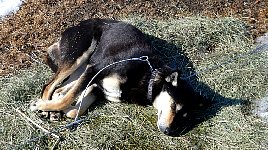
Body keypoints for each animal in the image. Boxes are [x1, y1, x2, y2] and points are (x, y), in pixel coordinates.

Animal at [30, 18, 200, 135]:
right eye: (174, 106)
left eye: (184, 118)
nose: (169, 132)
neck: (149, 78)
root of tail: (76, 25)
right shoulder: (95, 70)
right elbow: (68, 98)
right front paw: (41, 105)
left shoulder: (96, 86)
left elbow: (75, 110)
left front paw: (63, 110)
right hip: (77, 56)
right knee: (49, 85)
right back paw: (45, 109)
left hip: (82, 68)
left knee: (59, 89)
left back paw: (52, 111)